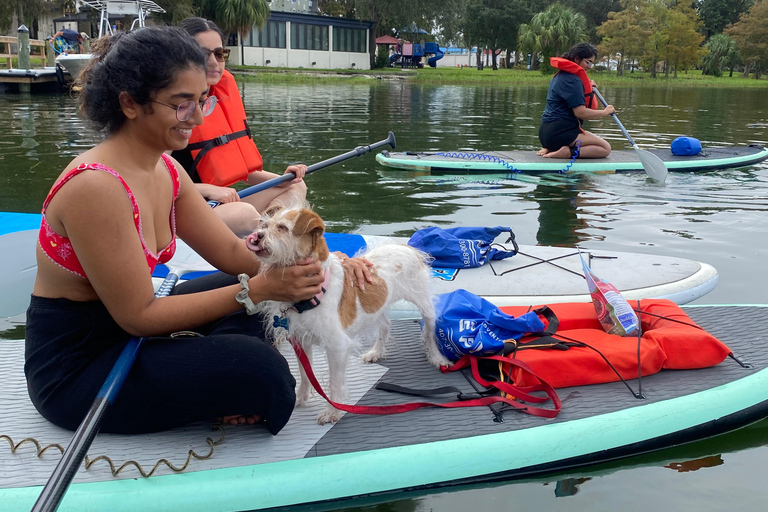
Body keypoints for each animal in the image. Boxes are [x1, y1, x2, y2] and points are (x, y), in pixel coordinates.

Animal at [246, 204, 450, 424]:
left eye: (282, 228)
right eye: (265, 225)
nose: (257, 236)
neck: (312, 294)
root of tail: (405, 247)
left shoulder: (336, 347)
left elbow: (334, 382)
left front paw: (333, 411)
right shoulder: (300, 340)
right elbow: (305, 374)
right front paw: (301, 398)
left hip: (424, 305)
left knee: (429, 332)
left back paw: (438, 358)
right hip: (378, 306)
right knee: (384, 326)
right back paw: (376, 352)